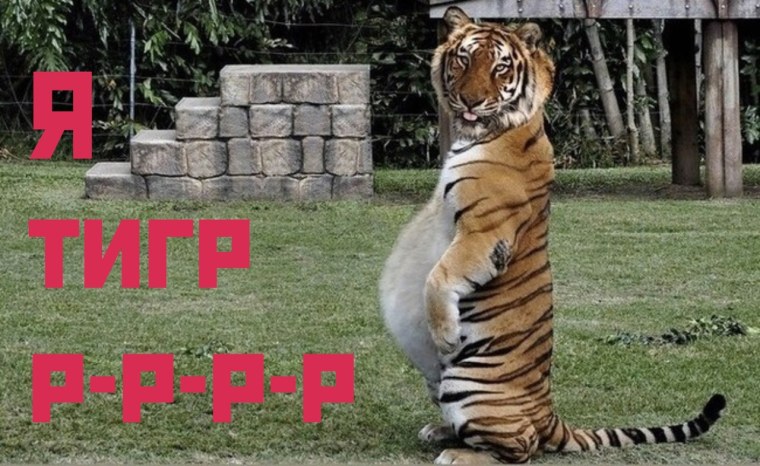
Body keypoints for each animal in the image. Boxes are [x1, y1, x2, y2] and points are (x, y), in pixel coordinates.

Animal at [378, 6, 725, 464]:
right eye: (463, 60)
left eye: (499, 67)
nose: (470, 101)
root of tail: (549, 416)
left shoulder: (485, 232)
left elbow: (439, 277)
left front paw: (447, 334)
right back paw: (439, 431)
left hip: (466, 385)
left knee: (521, 447)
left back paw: (458, 453)